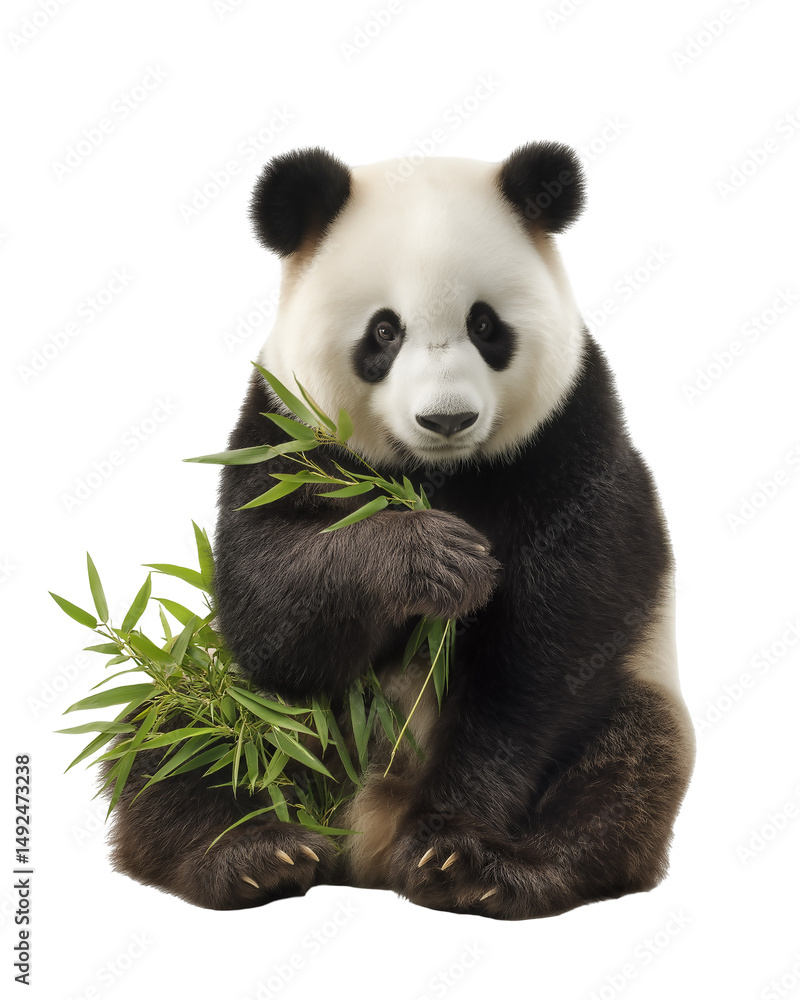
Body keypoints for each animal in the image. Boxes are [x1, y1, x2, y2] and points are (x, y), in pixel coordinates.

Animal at [104, 142, 695, 919]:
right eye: (385, 330)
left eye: (485, 325)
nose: (447, 419)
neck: (432, 474)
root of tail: (360, 846)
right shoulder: (281, 431)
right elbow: (268, 606)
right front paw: (438, 559)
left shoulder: (573, 441)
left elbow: (549, 652)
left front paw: (445, 836)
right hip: (244, 714)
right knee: (173, 740)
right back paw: (252, 855)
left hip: (640, 687)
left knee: (628, 765)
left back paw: (488, 871)